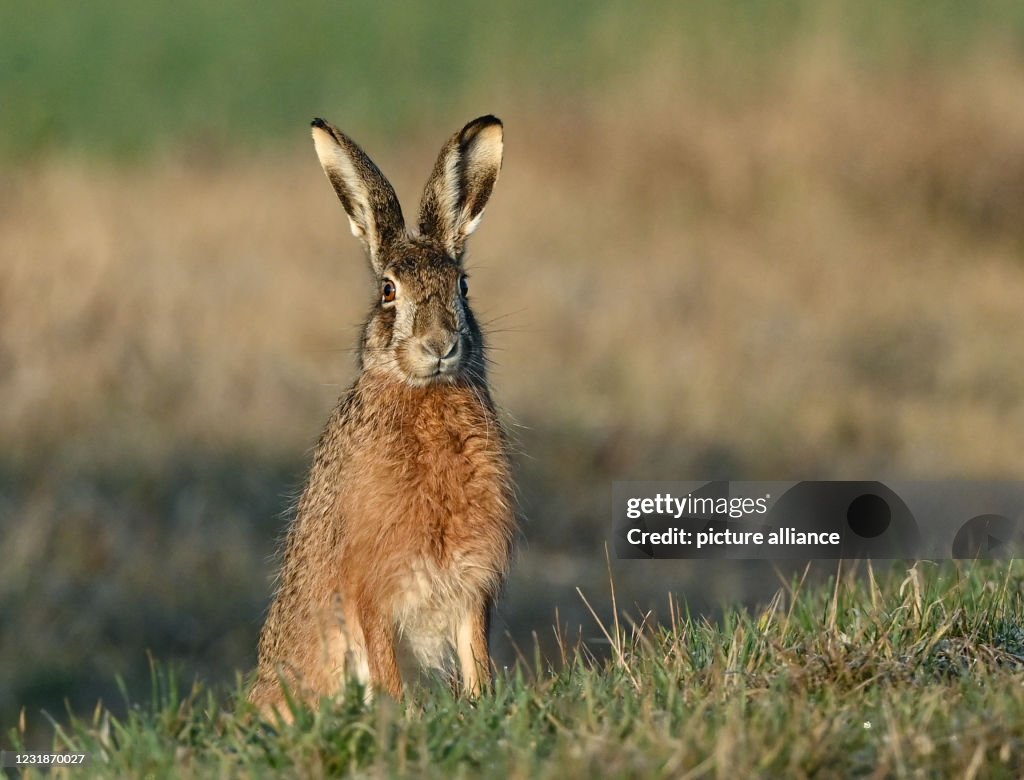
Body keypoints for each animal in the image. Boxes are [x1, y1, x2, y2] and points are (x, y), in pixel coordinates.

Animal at [249, 115, 517, 717]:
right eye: (389, 291)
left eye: (463, 286)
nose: (439, 344)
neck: (426, 395)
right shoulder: (372, 588)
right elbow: (385, 661)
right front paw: (402, 713)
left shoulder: (470, 582)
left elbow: (476, 653)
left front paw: (480, 701)